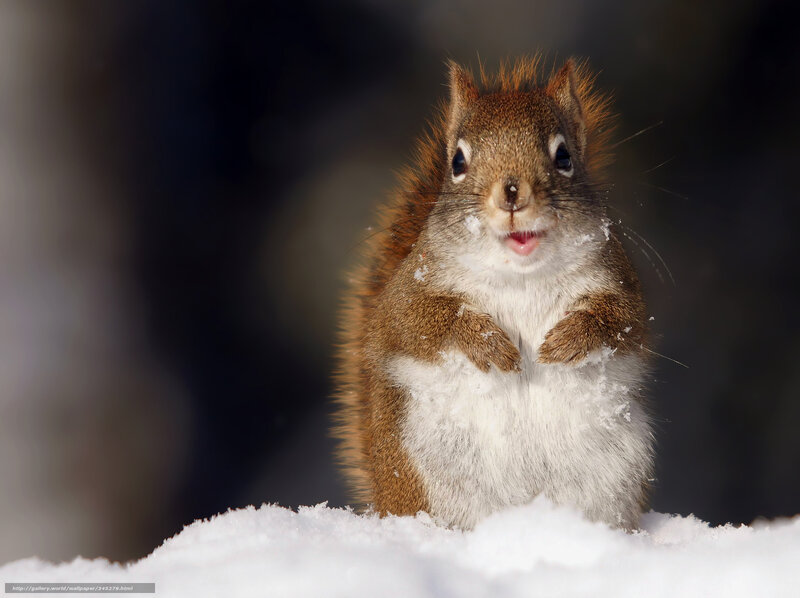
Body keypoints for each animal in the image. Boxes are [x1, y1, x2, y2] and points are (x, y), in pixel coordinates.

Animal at [333, 57, 655, 530]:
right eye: (457, 161)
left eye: (564, 156)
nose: (512, 193)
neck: (519, 275)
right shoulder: (407, 294)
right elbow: (419, 324)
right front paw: (487, 343)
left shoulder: (617, 280)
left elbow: (621, 321)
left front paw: (569, 338)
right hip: (420, 469)